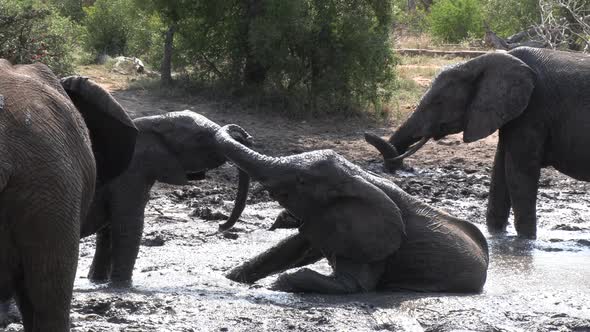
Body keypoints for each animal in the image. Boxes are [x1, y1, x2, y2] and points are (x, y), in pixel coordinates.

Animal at [82, 110, 252, 284]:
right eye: (199, 138)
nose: (220, 226)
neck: (153, 122)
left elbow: (109, 229)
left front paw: (98, 282)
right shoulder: (130, 175)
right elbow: (129, 224)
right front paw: (121, 286)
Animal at [213, 124, 490, 294]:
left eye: (300, 181)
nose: (242, 134)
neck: (356, 176)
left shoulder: (373, 242)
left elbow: (353, 285)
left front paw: (275, 287)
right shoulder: (330, 218)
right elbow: (289, 249)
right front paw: (230, 278)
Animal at [366, 46, 590, 239]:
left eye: (438, 102)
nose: (367, 134)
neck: (480, 62)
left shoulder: (534, 111)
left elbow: (518, 172)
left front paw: (526, 242)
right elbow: (500, 171)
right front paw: (496, 236)